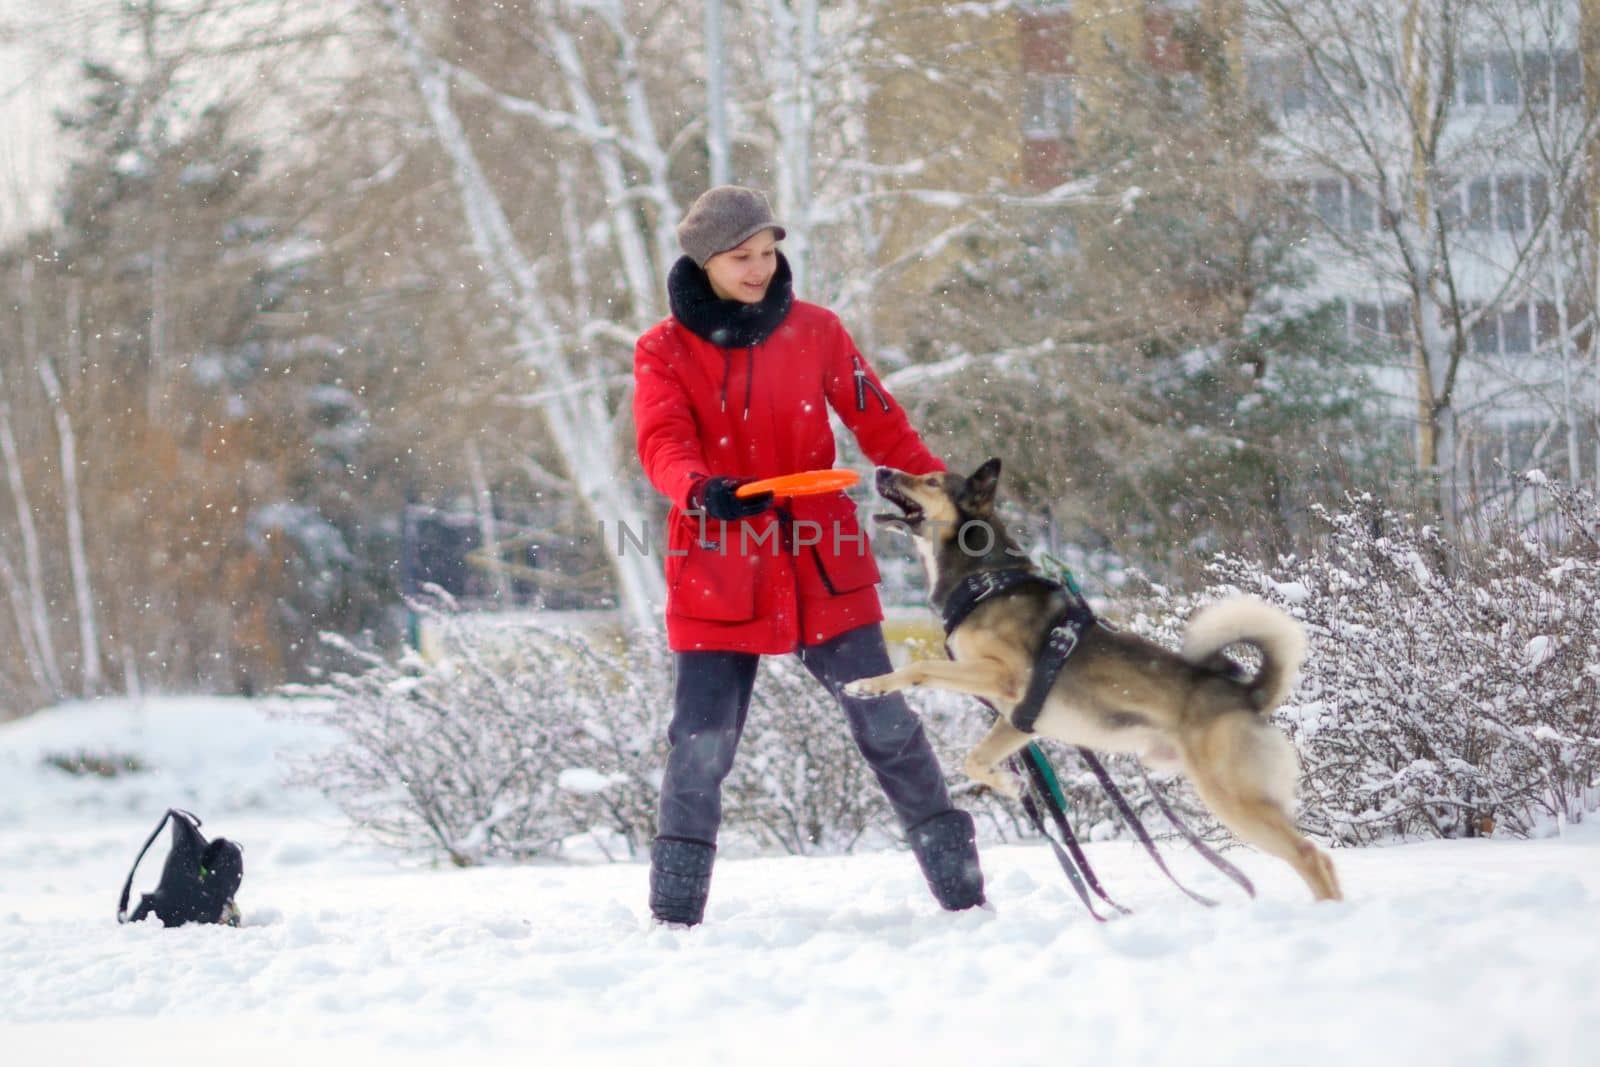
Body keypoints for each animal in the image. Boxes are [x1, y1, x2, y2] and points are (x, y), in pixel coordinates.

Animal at [844, 460, 1344, 902]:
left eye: (928, 480)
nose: (881, 470)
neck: (983, 579)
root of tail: (1249, 696)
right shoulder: (1018, 720)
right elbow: (974, 759)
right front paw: (1011, 785)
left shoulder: (1004, 676)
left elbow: (918, 669)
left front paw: (868, 684)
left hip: (1232, 796)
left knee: (1313, 857)